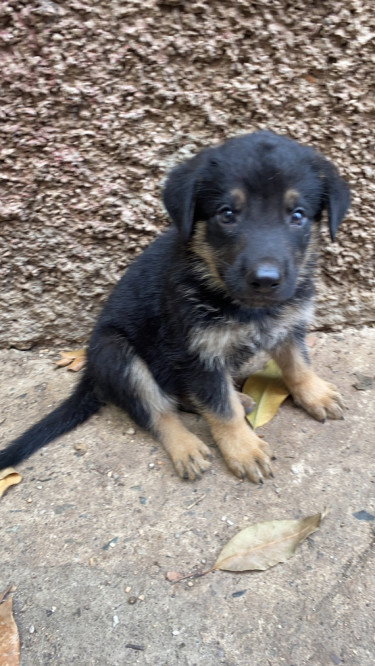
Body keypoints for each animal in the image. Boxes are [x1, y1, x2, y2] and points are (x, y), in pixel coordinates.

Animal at [0, 131, 352, 482]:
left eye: (297, 216)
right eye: (227, 214)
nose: (266, 280)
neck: (243, 305)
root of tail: (92, 377)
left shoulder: (289, 324)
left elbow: (298, 365)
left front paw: (315, 394)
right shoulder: (199, 355)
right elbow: (221, 410)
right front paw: (244, 449)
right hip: (116, 352)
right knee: (158, 411)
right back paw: (187, 447)